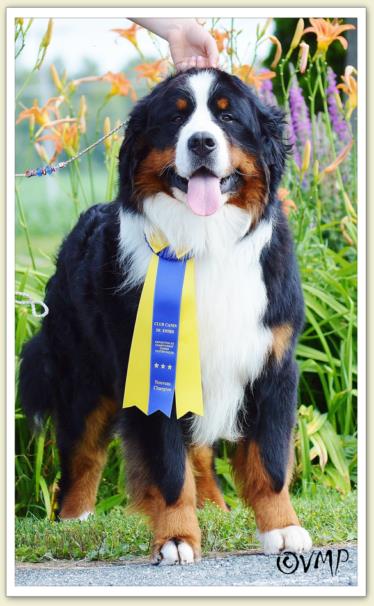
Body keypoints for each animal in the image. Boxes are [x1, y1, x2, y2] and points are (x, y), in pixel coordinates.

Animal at [19, 69, 312, 568]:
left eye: (227, 116)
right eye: (175, 118)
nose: (201, 142)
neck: (205, 242)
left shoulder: (272, 363)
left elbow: (269, 460)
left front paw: (283, 528)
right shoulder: (147, 369)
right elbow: (169, 467)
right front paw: (176, 536)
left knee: (200, 453)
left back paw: (214, 506)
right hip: (82, 379)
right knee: (82, 457)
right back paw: (75, 521)